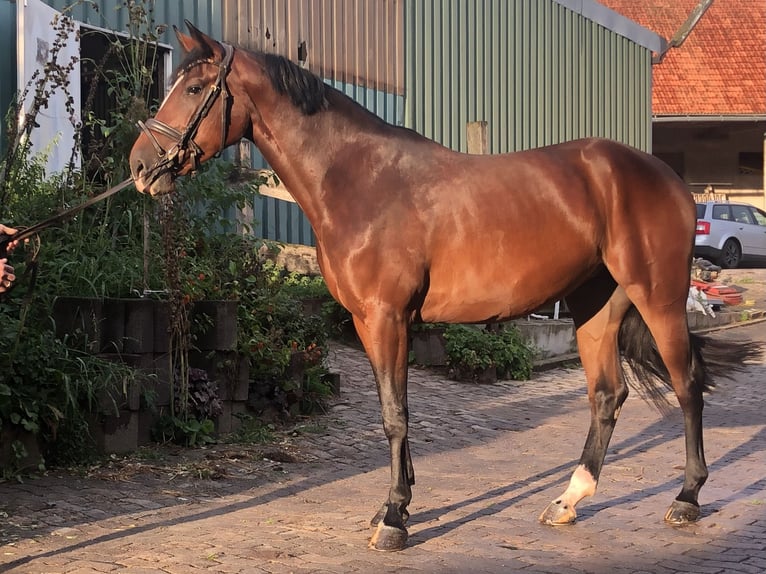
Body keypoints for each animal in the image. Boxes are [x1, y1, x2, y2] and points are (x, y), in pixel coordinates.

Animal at [129, 23, 760, 552]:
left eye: (195, 88)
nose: (139, 167)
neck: (358, 179)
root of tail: (668, 178)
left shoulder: (384, 316)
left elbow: (394, 415)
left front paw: (393, 519)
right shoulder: (370, 322)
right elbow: (396, 408)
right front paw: (400, 506)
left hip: (658, 297)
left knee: (687, 385)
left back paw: (685, 500)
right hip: (595, 309)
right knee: (607, 396)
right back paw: (567, 501)